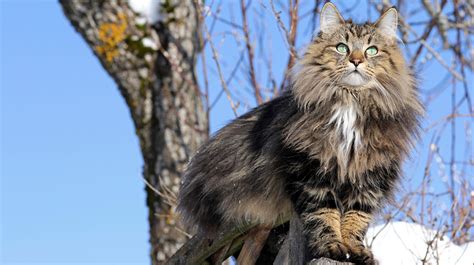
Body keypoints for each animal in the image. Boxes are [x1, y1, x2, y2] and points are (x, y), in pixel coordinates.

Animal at [177, 2, 422, 264]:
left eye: (372, 50)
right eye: (342, 47)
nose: (356, 60)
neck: (351, 102)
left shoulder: (369, 178)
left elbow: (356, 220)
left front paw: (355, 250)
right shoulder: (311, 172)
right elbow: (324, 216)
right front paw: (332, 246)